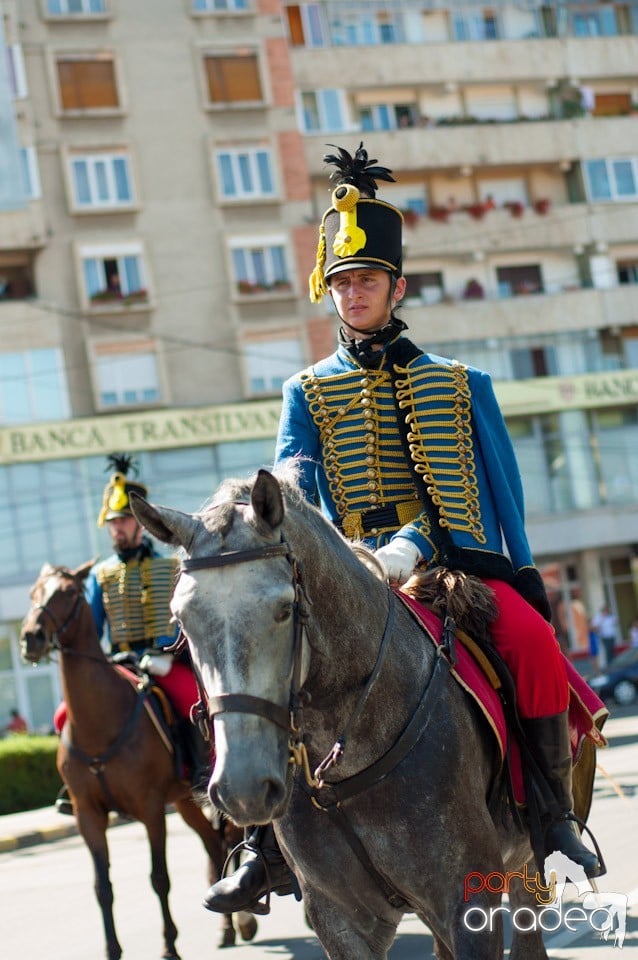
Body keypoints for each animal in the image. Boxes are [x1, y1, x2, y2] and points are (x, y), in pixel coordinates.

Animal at [20, 564, 255, 960]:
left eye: (68, 592)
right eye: (33, 593)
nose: (30, 638)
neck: (98, 724)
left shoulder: (150, 809)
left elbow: (159, 878)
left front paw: (169, 944)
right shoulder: (88, 815)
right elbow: (102, 887)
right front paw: (112, 949)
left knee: (228, 839)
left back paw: (241, 921)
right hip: (184, 800)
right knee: (213, 844)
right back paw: (226, 928)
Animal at [130, 468, 600, 960]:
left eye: (284, 608)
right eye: (181, 621)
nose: (243, 787)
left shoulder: (469, 904)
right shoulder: (339, 918)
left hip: (525, 862)